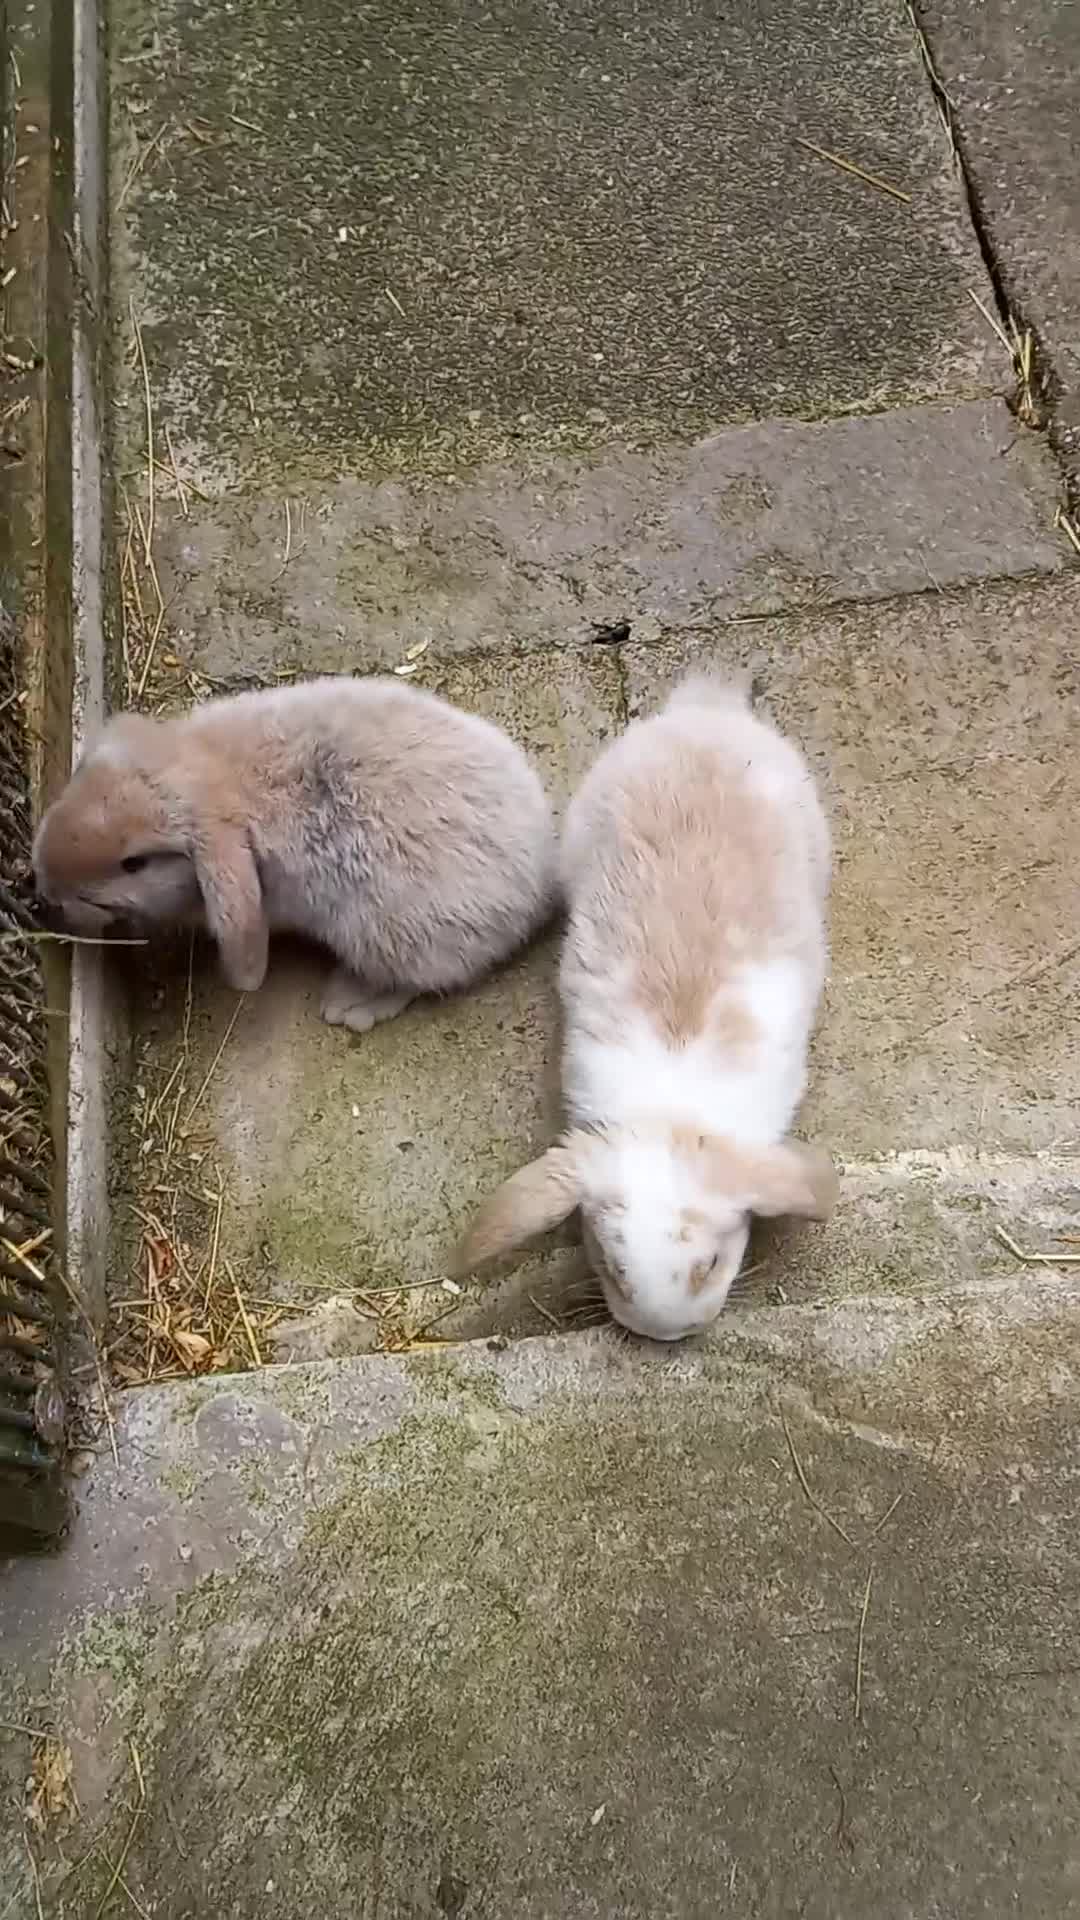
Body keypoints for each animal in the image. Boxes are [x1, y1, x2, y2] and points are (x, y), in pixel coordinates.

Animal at [33, 674, 557, 1032]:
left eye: (134, 863)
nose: (44, 886)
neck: (214, 779)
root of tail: (538, 882)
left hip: (389, 937)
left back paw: (349, 1004)